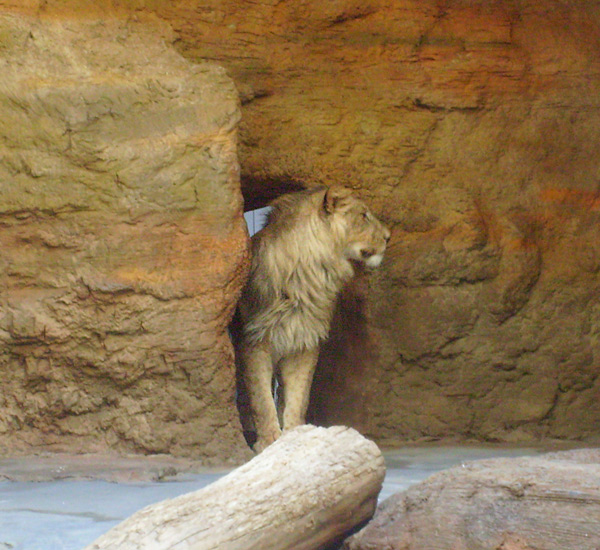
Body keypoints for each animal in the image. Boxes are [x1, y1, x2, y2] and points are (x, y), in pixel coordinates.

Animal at [234, 185, 390, 452]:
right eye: (363, 215)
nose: (389, 237)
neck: (309, 275)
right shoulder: (254, 341)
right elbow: (260, 398)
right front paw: (268, 442)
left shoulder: (303, 343)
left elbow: (299, 395)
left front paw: (296, 436)